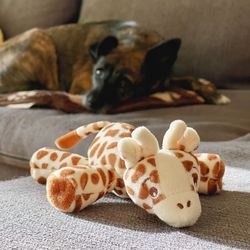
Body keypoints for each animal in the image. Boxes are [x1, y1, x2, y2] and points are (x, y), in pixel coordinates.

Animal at [0, 20, 226, 112]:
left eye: (124, 83)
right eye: (98, 72)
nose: (90, 102)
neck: (137, 41)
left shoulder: (166, 78)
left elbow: (190, 79)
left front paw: (212, 92)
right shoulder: (80, 84)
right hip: (39, 35)